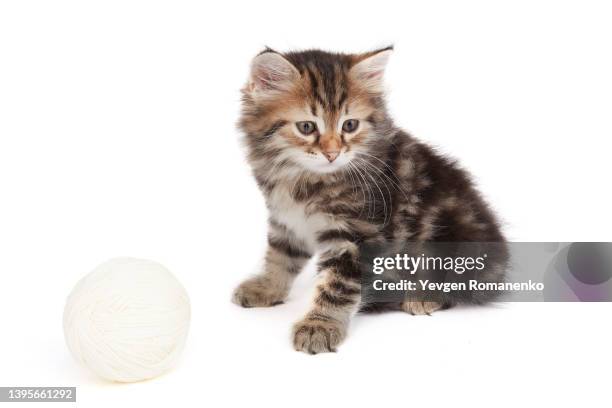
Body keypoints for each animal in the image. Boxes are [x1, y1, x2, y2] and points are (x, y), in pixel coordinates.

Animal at [232, 47, 504, 354]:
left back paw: (422, 297)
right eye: (306, 127)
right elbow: (280, 256)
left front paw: (319, 325)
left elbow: (337, 286)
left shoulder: (356, 235)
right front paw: (267, 288)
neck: (303, 179)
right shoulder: (287, 222)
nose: (332, 153)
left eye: (350, 125)